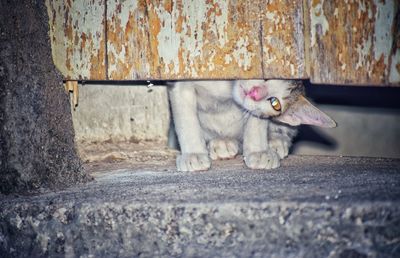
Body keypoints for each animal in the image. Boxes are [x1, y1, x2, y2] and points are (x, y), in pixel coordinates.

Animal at [167, 79, 336, 172]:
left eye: (275, 103)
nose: (255, 93)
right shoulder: (182, 82)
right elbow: (186, 118)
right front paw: (193, 153)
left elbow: (257, 120)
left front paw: (258, 151)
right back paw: (222, 142)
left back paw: (275, 141)